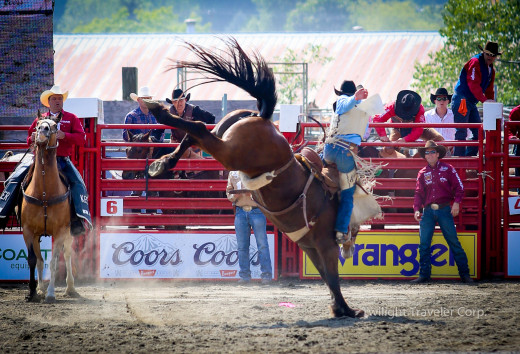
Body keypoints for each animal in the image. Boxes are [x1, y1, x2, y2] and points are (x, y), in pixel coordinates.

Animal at [20, 117, 77, 302]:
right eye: (37, 125)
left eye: (54, 126)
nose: (42, 131)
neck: (44, 193)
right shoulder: (28, 230)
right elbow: (33, 260)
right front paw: (32, 292)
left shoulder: (59, 231)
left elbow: (54, 261)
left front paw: (51, 293)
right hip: (38, 234)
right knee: (39, 260)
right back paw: (40, 289)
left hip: (68, 232)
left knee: (67, 254)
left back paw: (70, 288)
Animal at [144, 38, 370, 318]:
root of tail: (263, 118)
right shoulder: (325, 245)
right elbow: (333, 276)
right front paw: (346, 309)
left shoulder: (310, 247)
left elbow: (327, 277)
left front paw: (340, 308)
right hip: (232, 153)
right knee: (197, 128)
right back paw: (158, 113)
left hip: (225, 134)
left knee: (195, 133)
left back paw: (162, 163)